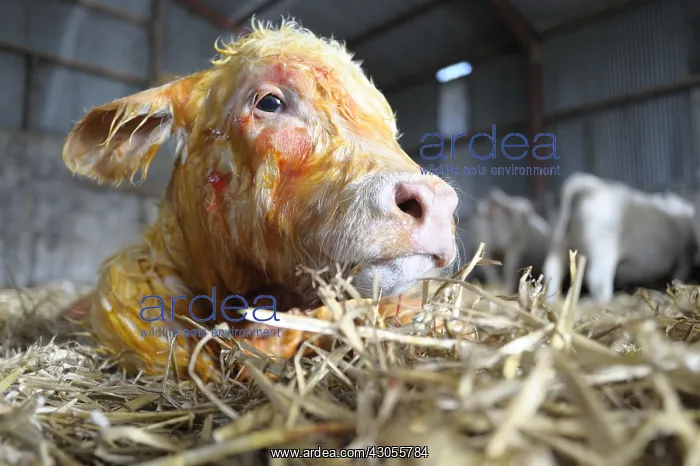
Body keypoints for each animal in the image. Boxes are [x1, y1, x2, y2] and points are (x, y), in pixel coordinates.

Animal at [543, 172, 697, 303]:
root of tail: (590, 186)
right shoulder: (684, 256)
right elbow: (679, 274)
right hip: (602, 249)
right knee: (597, 278)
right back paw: (606, 301)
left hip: (558, 242)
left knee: (552, 270)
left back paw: (552, 300)